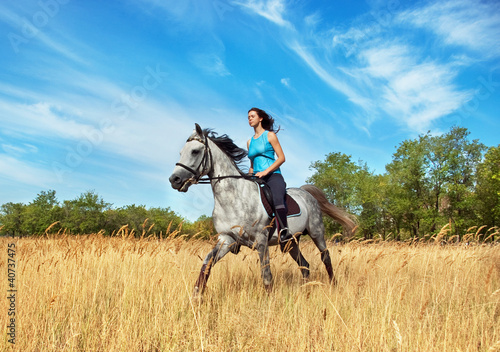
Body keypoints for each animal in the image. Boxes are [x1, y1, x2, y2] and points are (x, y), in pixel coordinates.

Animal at [170, 124, 358, 296]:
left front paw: (269, 301)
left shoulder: (261, 240)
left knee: (325, 257)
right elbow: (207, 263)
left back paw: (333, 286)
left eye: (195, 151)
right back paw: (305, 291)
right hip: (290, 242)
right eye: (180, 152)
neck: (233, 197)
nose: (174, 180)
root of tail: (305, 192)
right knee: (304, 265)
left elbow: (266, 275)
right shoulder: (227, 238)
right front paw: (197, 296)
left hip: (316, 232)